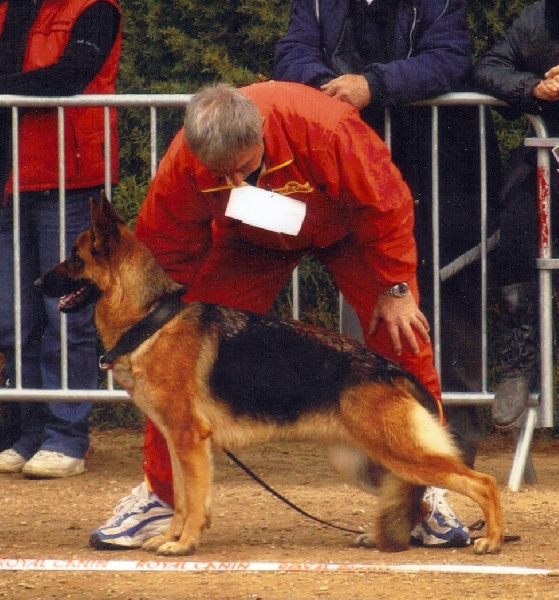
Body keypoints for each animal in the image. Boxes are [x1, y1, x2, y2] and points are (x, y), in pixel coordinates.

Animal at [37, 196, 506, 556]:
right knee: (416, 500)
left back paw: (492, 540)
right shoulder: (178, 442)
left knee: (482, 483)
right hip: (364, 463)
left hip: (397, 453)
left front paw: (183, 544)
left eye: (74, 258)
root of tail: (396, 371)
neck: (150, 319)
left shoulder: (189, 441)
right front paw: (173, 537)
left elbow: (193, 501)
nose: (38, 283)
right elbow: (186, 500)